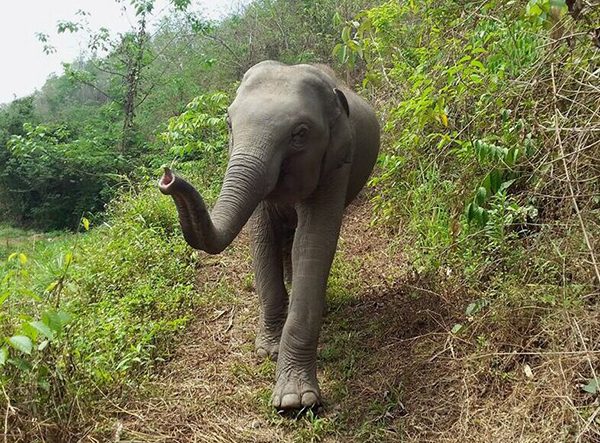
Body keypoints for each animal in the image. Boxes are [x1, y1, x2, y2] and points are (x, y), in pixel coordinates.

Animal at [159, 60, 380, 412]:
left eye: (300, 134)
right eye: (229, 123)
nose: (168, 176)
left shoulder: (336, 166)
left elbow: (312, 244)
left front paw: (294, 402)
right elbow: (262, 240)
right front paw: (267, 352)